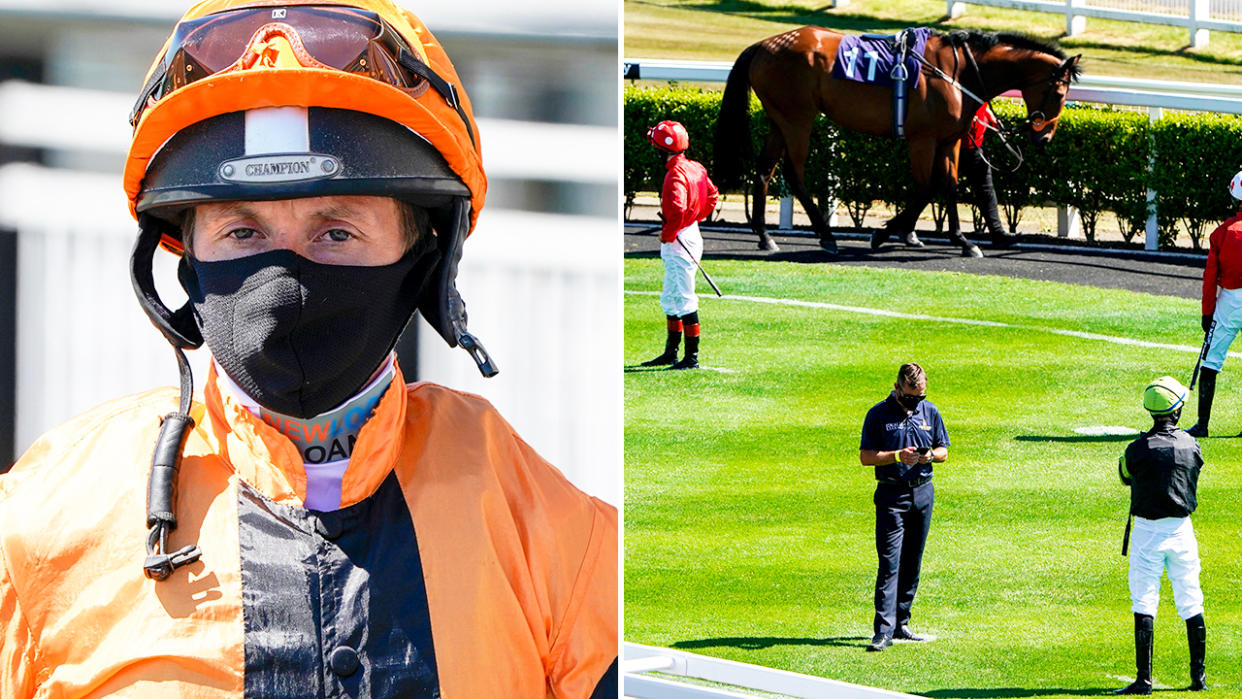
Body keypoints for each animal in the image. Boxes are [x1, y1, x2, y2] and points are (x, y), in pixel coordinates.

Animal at [715, 28, 1083, 257]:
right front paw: (884, 233)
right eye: (1060, 92)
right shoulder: (922, 139)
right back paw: (826, 236)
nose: (1043, 136)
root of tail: (762, 46)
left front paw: (962, 240)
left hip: (780, 119)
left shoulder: (949, 140)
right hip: (797, 119)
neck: (957, 72)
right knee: (794, 174)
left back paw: (766, 237)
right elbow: (926, 186)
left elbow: (949, 185)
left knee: (763, 171)